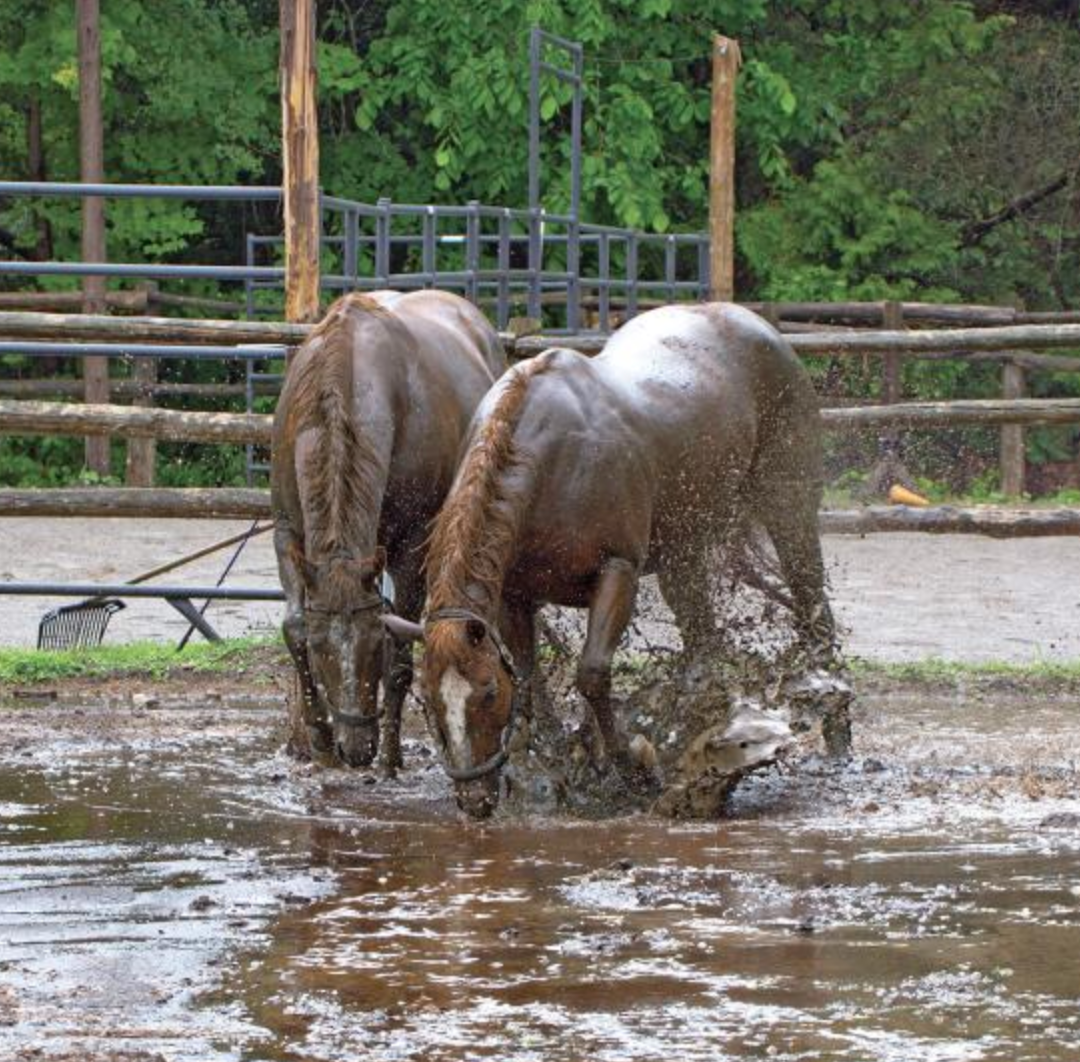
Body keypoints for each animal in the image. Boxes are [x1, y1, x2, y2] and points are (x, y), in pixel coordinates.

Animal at [270, 291, 505, 773]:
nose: (356, 749)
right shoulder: (288, 534)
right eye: (321, 650)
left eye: (373, 646)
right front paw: (318, 735)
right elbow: (294, 624)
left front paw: (391, 756)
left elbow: (400, 656)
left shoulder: (411, 549)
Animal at [388, 302, 851, 816]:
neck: (551, 463)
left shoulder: (618, 572)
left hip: (787, 513)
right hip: (683, 557)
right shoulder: (513, 598)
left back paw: (835, 732)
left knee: (814, 611)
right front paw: (551, 768)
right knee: (705, 646)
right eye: (430, 701)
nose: (473, 799)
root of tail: (757, 325)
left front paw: (630, 767)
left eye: (487, 693)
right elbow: (529, 683)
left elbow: (592, 674)